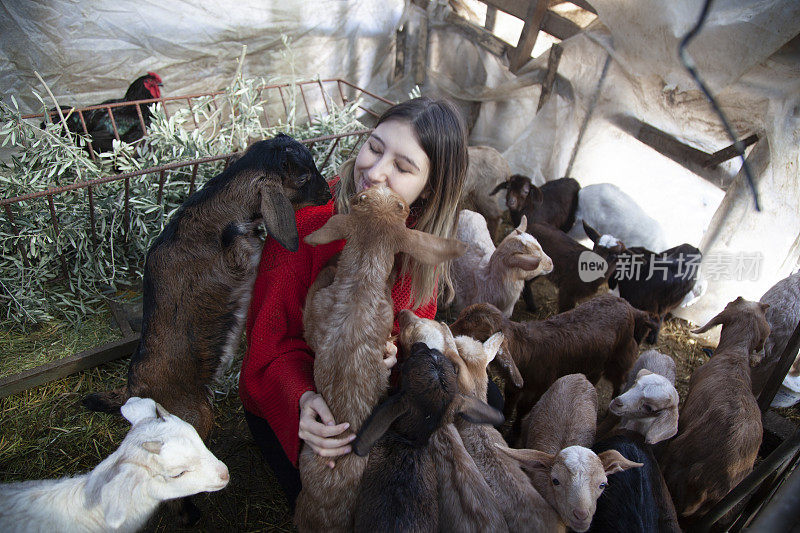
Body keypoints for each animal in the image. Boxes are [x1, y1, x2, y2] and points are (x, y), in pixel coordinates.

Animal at [450, 296, 656, 440]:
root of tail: (630, 307)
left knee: (620, 380)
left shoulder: (538, 389)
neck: (526, 349)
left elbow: (523, 410)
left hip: (620, 357)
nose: (446, 329)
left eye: (470, 332)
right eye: (459, 317)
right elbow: (508, 406)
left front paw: (513, 435)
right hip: (595, 363)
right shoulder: (514, 385)